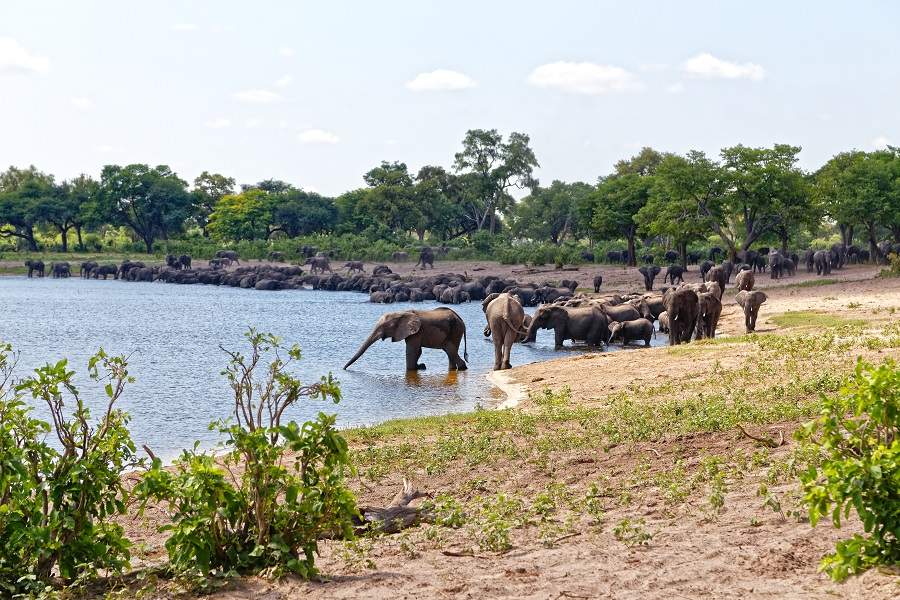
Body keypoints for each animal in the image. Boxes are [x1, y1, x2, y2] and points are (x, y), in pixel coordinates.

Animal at [344, 308, 472, 372]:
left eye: (384, 327)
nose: (343, 369)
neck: (401, 312)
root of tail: (461, 319)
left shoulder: (416, 332)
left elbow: (412, 351)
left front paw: (413, 369)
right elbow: (417, 351)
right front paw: (420, 366)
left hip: (455, 330)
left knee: (450, 349)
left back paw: (462, 367)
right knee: (450, 351)